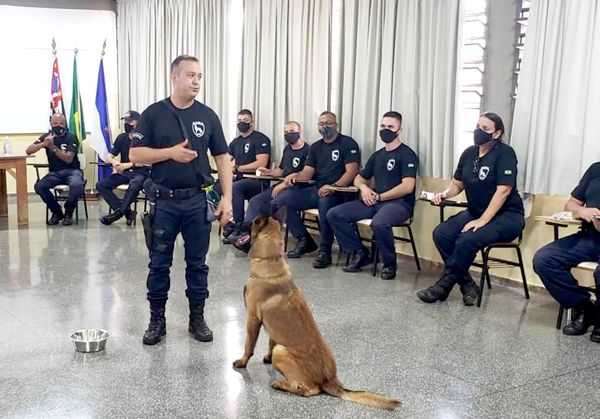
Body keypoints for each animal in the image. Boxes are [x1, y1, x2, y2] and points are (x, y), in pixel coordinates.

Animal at [232, 210, 400, 410]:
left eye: (248, 223)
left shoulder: (252, 319)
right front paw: (266, 356)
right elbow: (271, 340)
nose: (231, 224)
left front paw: (242, 362)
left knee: (309, 390)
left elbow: (249, 345)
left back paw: (280, 384)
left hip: (283, 352)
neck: (270, 260)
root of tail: (331, 380)